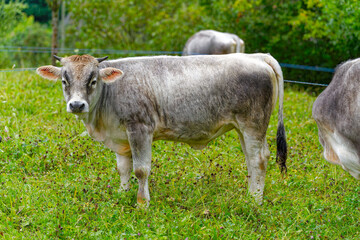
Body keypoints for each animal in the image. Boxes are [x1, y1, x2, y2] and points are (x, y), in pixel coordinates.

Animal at [37, 53, 286, 205]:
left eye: (93, 80)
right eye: (64, 81)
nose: (77, 105)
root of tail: (256, 56)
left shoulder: (140, 129)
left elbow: (141, 170)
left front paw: (142, 203)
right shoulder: (121, 138)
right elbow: (123, 169)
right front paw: (122, 193)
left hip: (253, 125)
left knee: (258, 160)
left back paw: (254, 201)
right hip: (242, 129)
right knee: (251, 160)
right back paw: (251, 195)